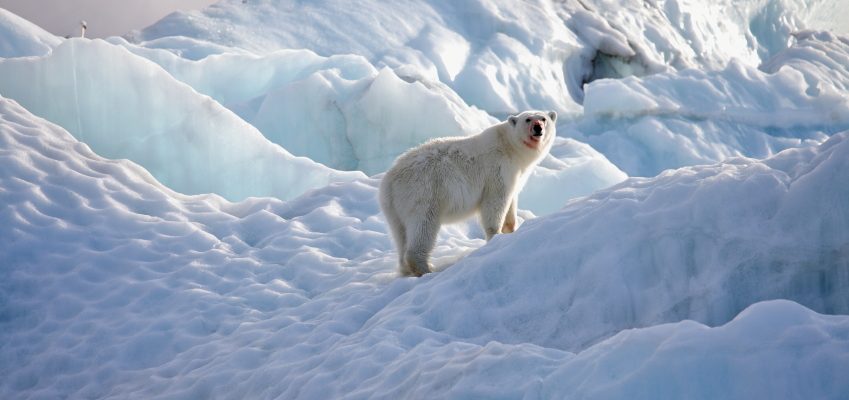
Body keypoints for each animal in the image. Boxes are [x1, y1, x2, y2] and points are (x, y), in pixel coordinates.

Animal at [379, 110, 557, 277]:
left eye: (543, 118)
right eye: (528, 119)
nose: (538, 128)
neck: (509, 147)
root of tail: (389, 182)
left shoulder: (515, 175)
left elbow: (511, 201)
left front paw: (510, 230)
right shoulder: (498, 170)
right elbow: (496, 202)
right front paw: (495, 237)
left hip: (394, 209)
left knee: (400, 234)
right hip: (423, 193)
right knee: (424, 226)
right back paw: (426, 269)